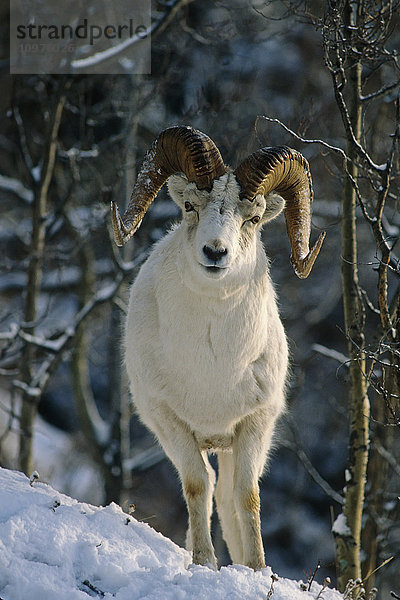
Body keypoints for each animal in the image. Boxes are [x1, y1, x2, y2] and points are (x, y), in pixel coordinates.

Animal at [111, 125, 324, 568]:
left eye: (254, 218)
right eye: (191, 206)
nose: (215, 252)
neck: (213, 365)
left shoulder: (255, 425)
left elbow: (247, 495)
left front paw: (258, 569)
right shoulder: (170, 422)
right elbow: (197, 485)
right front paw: (204, 561)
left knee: (227, 497)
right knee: (211, 489)